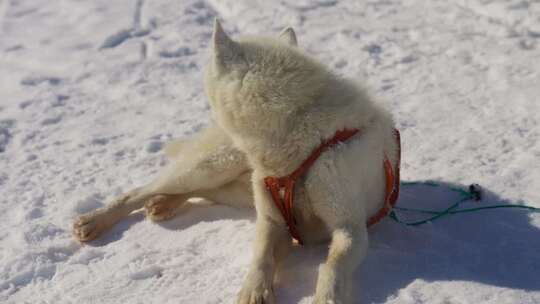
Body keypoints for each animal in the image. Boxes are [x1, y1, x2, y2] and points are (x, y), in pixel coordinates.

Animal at [74, 20, 398, 302]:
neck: (303, 131)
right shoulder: (272, 220)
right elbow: (261, 258)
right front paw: (254, 291)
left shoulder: (350, 228)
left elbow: (331, 266)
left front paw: (326, 298)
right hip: (213, 167)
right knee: (141, 190)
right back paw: (95, 220)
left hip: (236, 188)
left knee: (196, 192)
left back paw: (163, 203)